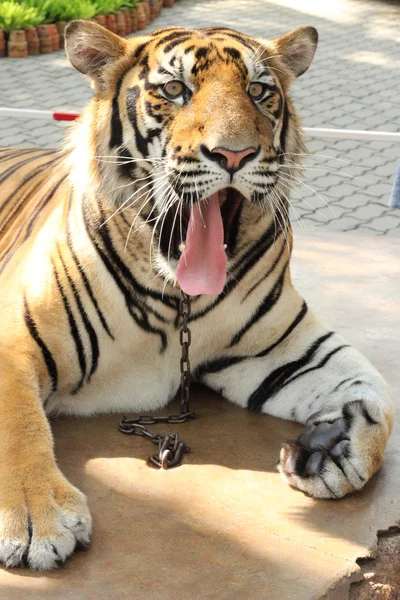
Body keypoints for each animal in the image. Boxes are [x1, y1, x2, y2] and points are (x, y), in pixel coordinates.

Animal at [0, 21, 394, 568]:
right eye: (174, 89)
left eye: (258, 91)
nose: (234, 154)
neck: (176, 299)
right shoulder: (13, 338)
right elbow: (17, 423)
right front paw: (37, 518)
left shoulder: (284, 347)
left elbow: (377, 398)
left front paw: (330, 448)